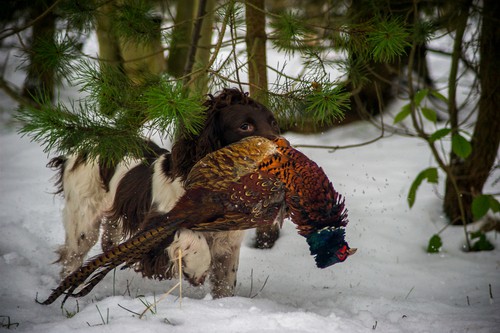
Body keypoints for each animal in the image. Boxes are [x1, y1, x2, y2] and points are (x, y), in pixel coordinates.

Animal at [49, 87, 282, 296]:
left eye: (273, 123)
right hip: (83, 220)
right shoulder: (155, 228)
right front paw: (197, 270)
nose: (280, 151)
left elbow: (224, 284)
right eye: (245, 126)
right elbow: (193, 239)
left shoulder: (228, 245)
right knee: (72, 258)